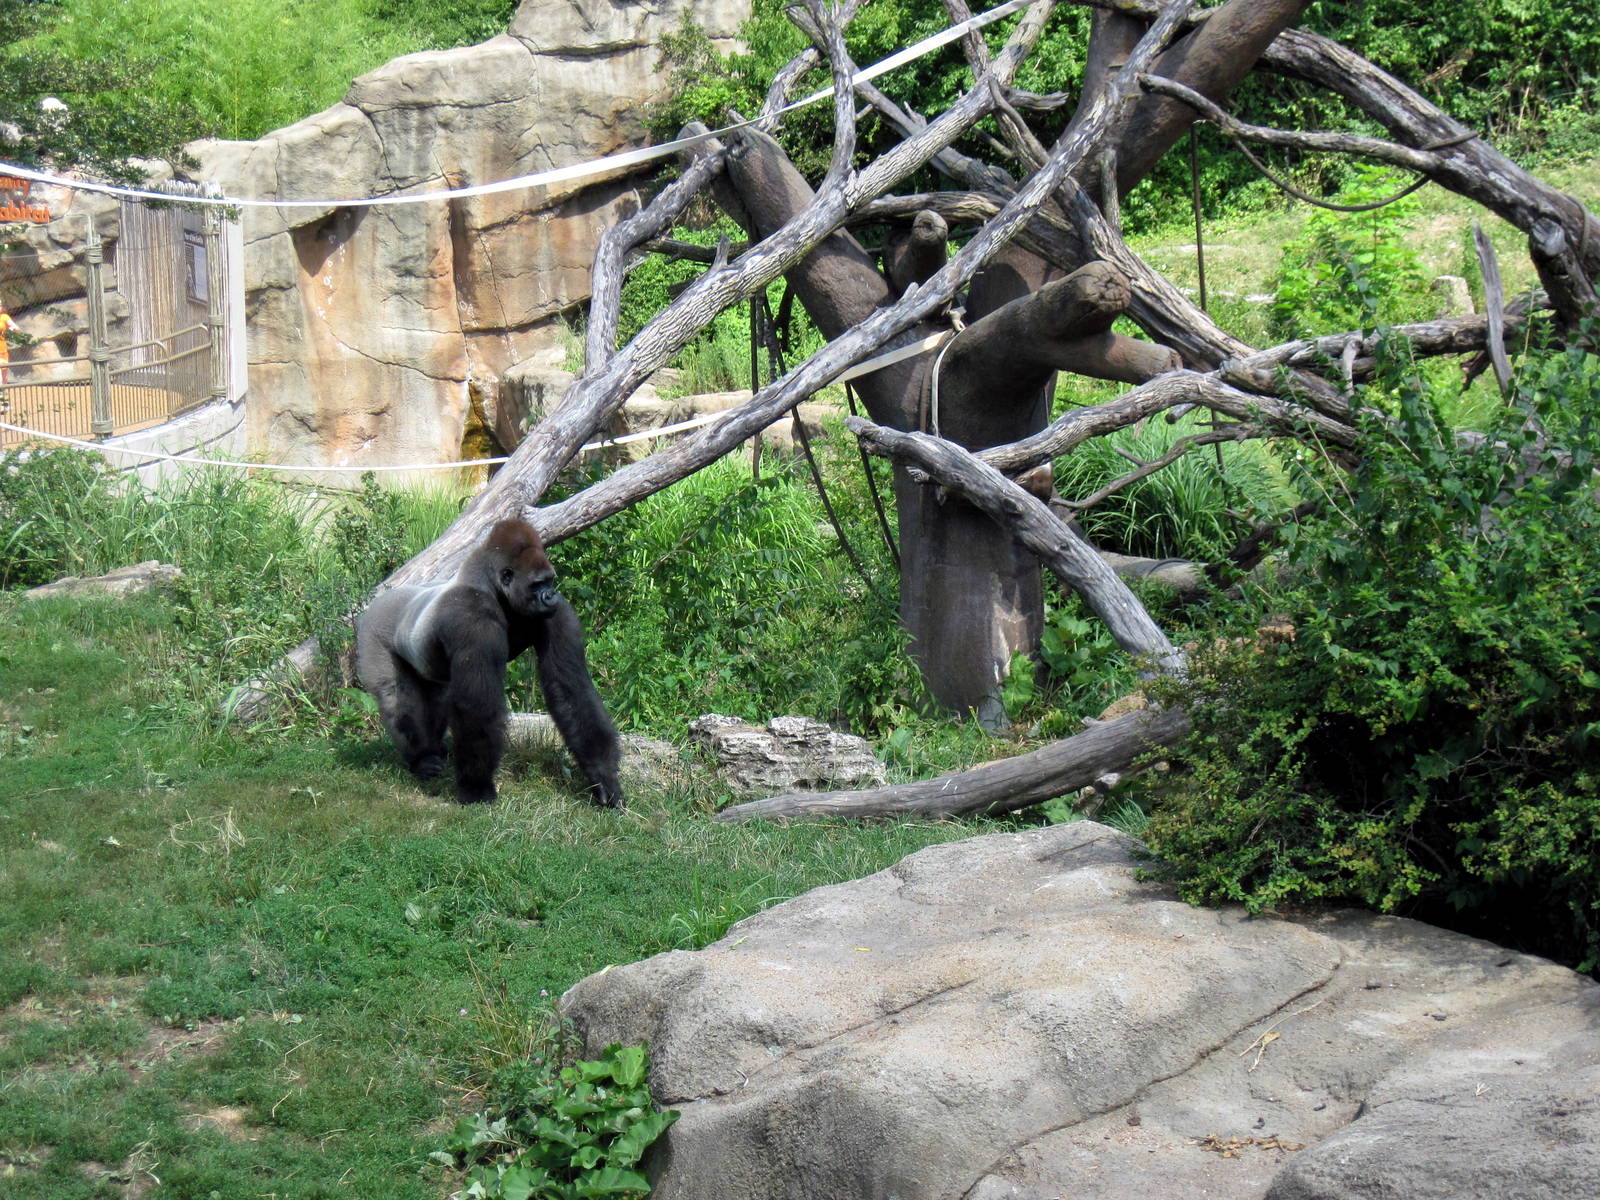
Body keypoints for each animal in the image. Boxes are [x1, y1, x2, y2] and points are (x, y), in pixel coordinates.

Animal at [354, 518, 622, 808]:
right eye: (536, 585)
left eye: (549, 581)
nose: (551, 595)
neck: (493, 589)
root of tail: (382, 596)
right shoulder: (472, 616)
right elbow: (477, 704)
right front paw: (476, 787)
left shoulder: (556, 613)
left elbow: (570, 689)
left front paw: (602, 776)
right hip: (373, 626)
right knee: (396, 695)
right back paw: (422, 758)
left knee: (436, 694)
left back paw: (435, 750)